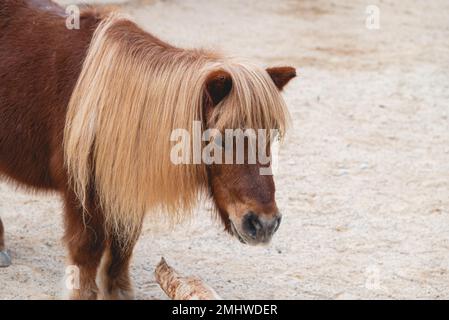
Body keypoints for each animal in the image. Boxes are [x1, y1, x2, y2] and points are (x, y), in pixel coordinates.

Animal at [0, 0, 296, 300]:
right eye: (220, 140)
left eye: (271, 136)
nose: (265, 224)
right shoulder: (81, 195)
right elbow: (87, 252)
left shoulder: (125, 191)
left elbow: (123, 246)